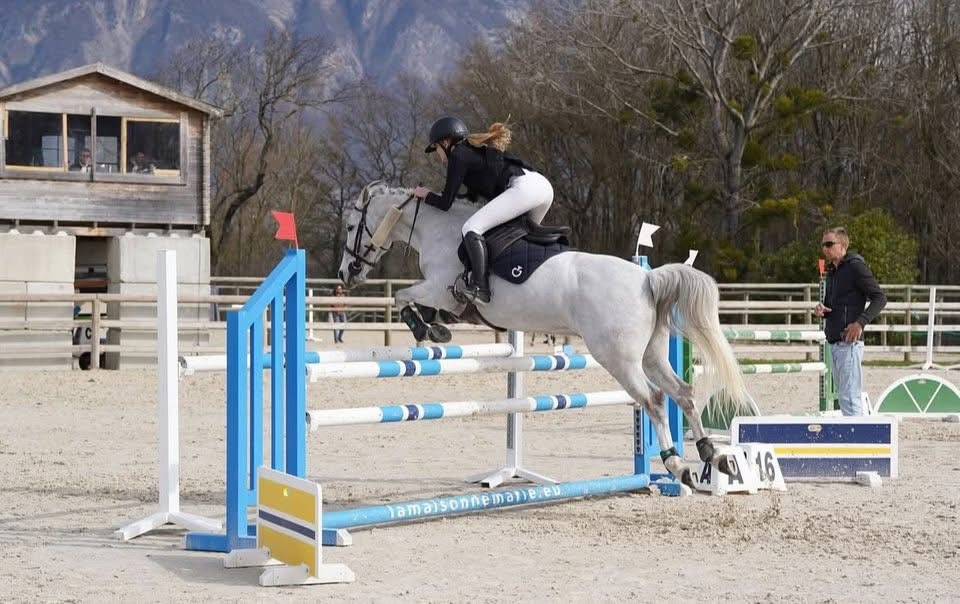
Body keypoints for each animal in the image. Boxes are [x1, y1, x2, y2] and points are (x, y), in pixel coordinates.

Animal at [337, 182, 749, 485]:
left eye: (350, 227)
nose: (346, 274)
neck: (440, 230)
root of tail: (648, 278)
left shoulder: (440, 289)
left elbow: (403, 297)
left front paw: (425, 328)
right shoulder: (446, 299)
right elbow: (422, 306)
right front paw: (435, 328)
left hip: (618, 358)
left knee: (654, 401)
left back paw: (676, 464)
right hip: (651, 354)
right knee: (684, 394)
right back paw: (711, 454)